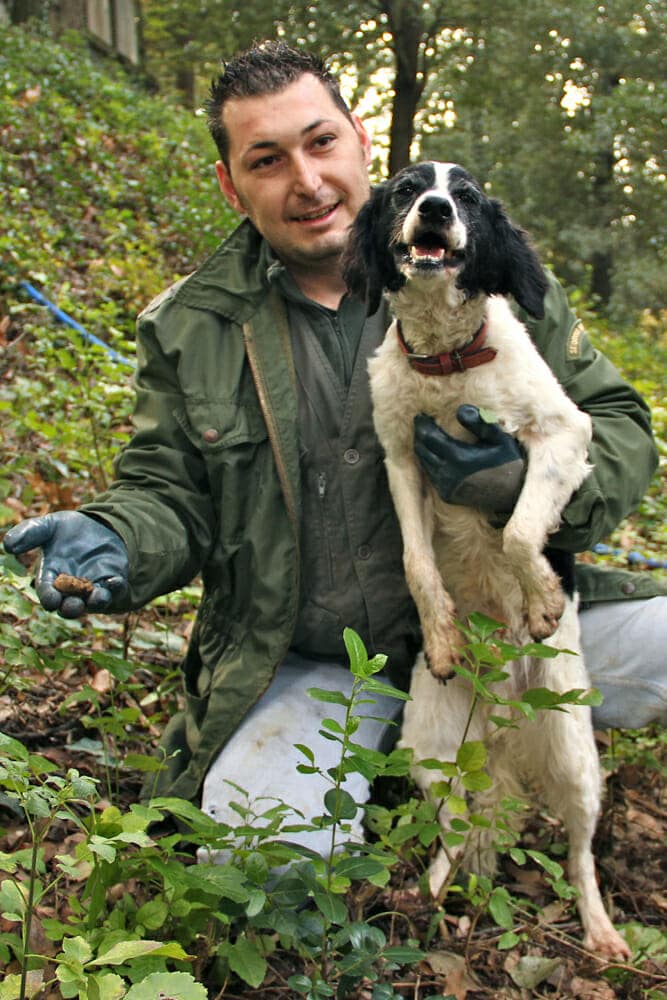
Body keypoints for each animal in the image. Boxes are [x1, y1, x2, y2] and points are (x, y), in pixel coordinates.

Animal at [342, 161, 630, 959]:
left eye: (466, 195)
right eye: (406, 189)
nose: (436, 210)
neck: (446, 362)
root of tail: (501, 713)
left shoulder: (562, 436)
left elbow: (518, 530)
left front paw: (542, 599)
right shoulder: (402, 461)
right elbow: (418, 564)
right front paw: (441, 636)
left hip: (574, 754)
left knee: (579, 854)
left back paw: (599, 931)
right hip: (431, 749)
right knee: (453, 829)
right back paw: (427, 896)